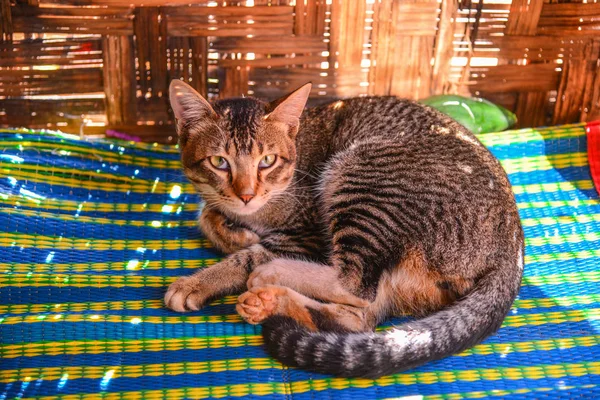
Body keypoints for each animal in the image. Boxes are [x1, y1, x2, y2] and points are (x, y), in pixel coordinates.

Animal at [165, 79, 524, 378]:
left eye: (267, 161)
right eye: (219, 162)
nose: (246, 194)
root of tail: (514, 244)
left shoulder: (305, 232)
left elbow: (245, 257)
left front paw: (198, 281)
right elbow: (206, 215)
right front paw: (232, 232)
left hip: (363, 183)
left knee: (354, 284)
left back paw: (271, 276)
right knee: (361, 319)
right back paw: (269, 302)